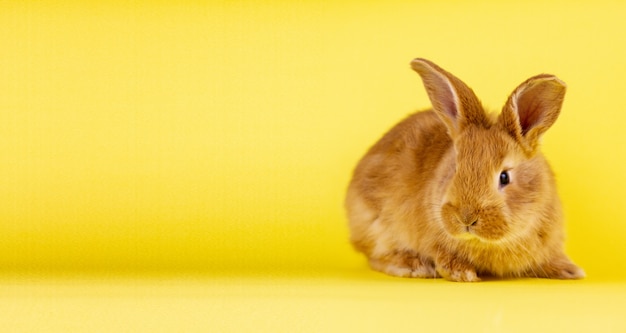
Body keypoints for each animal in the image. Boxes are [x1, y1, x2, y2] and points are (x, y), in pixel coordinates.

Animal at [344, 57, 584, 280]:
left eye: (504, 177)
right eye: (454, 169)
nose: (466, 218)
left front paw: (571, 270)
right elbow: (441, 254)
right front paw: (461, 273)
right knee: (377, 257)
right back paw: (413, 266)